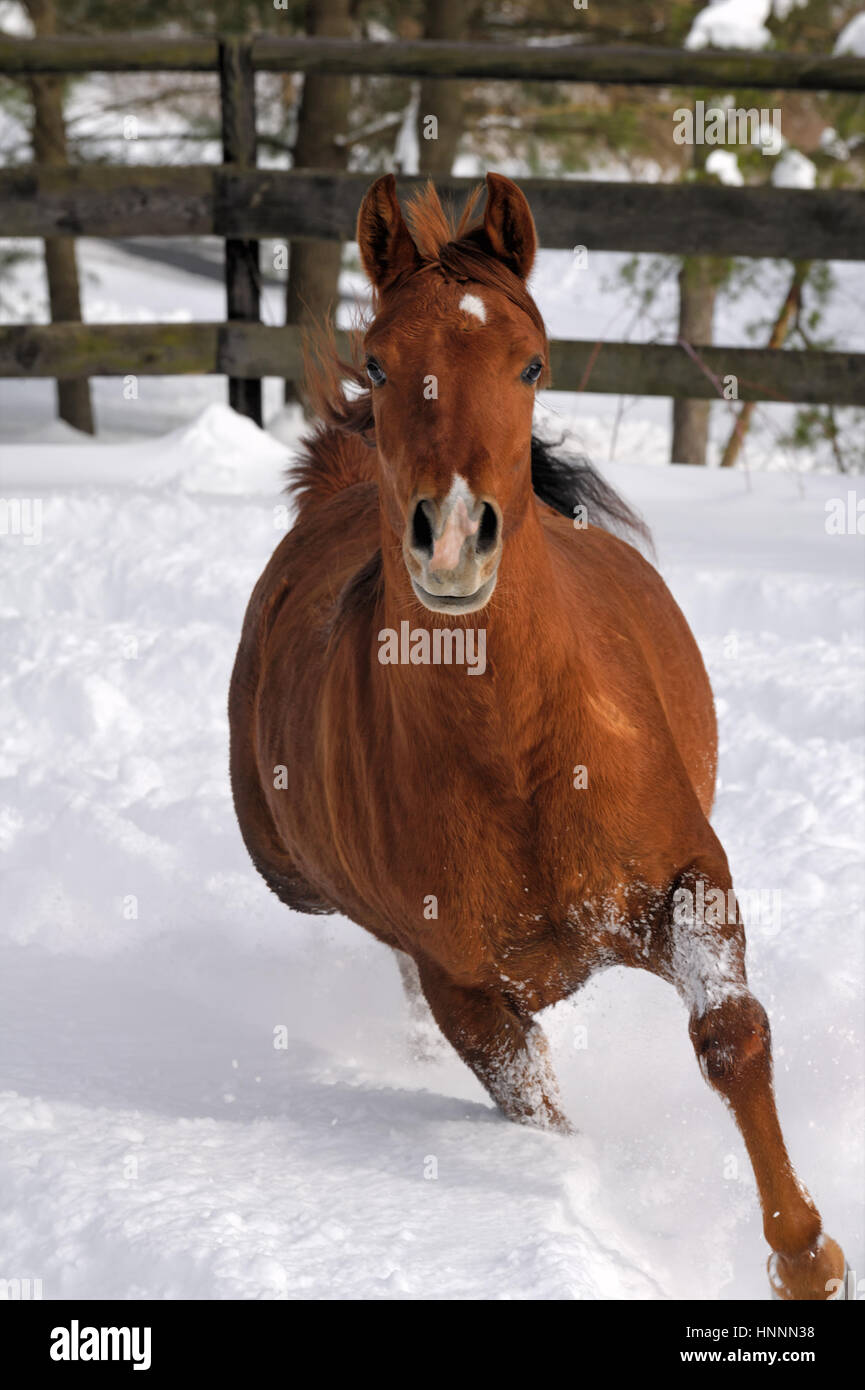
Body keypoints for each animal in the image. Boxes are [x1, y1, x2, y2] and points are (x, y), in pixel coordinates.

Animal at [228, 172, 845, 1300]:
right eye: (381, 361)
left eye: (530, 363)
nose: (453, 536)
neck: (519, 760)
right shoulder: (467, 987)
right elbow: (535, 1108)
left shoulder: (686, 881)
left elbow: (730, 1038)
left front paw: (804, 1257)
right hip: (300, 880)